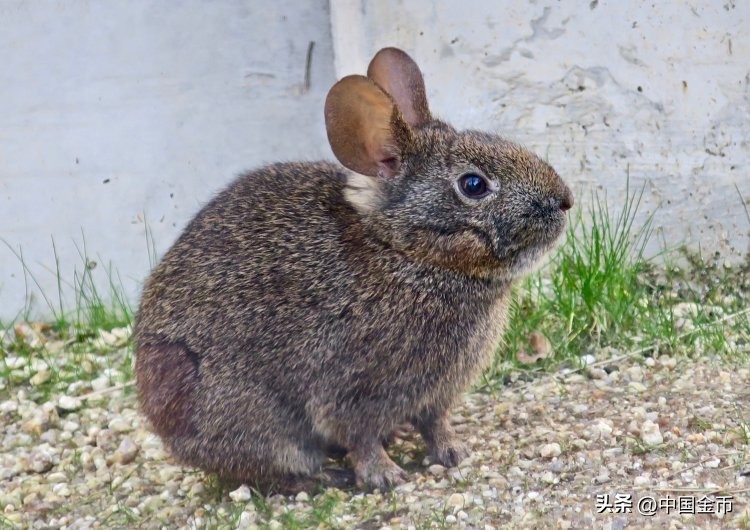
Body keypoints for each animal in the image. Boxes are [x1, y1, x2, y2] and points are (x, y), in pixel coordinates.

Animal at [134, 47, 573, 492]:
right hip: (244, 413)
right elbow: (359, 436)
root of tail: (164, 423)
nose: (565, 200)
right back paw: (321, 477)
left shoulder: (437, 393)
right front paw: (385, 476)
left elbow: (436, 423)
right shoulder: (348, 388)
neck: (405, 253)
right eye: (473, 185)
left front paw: (454, 453)